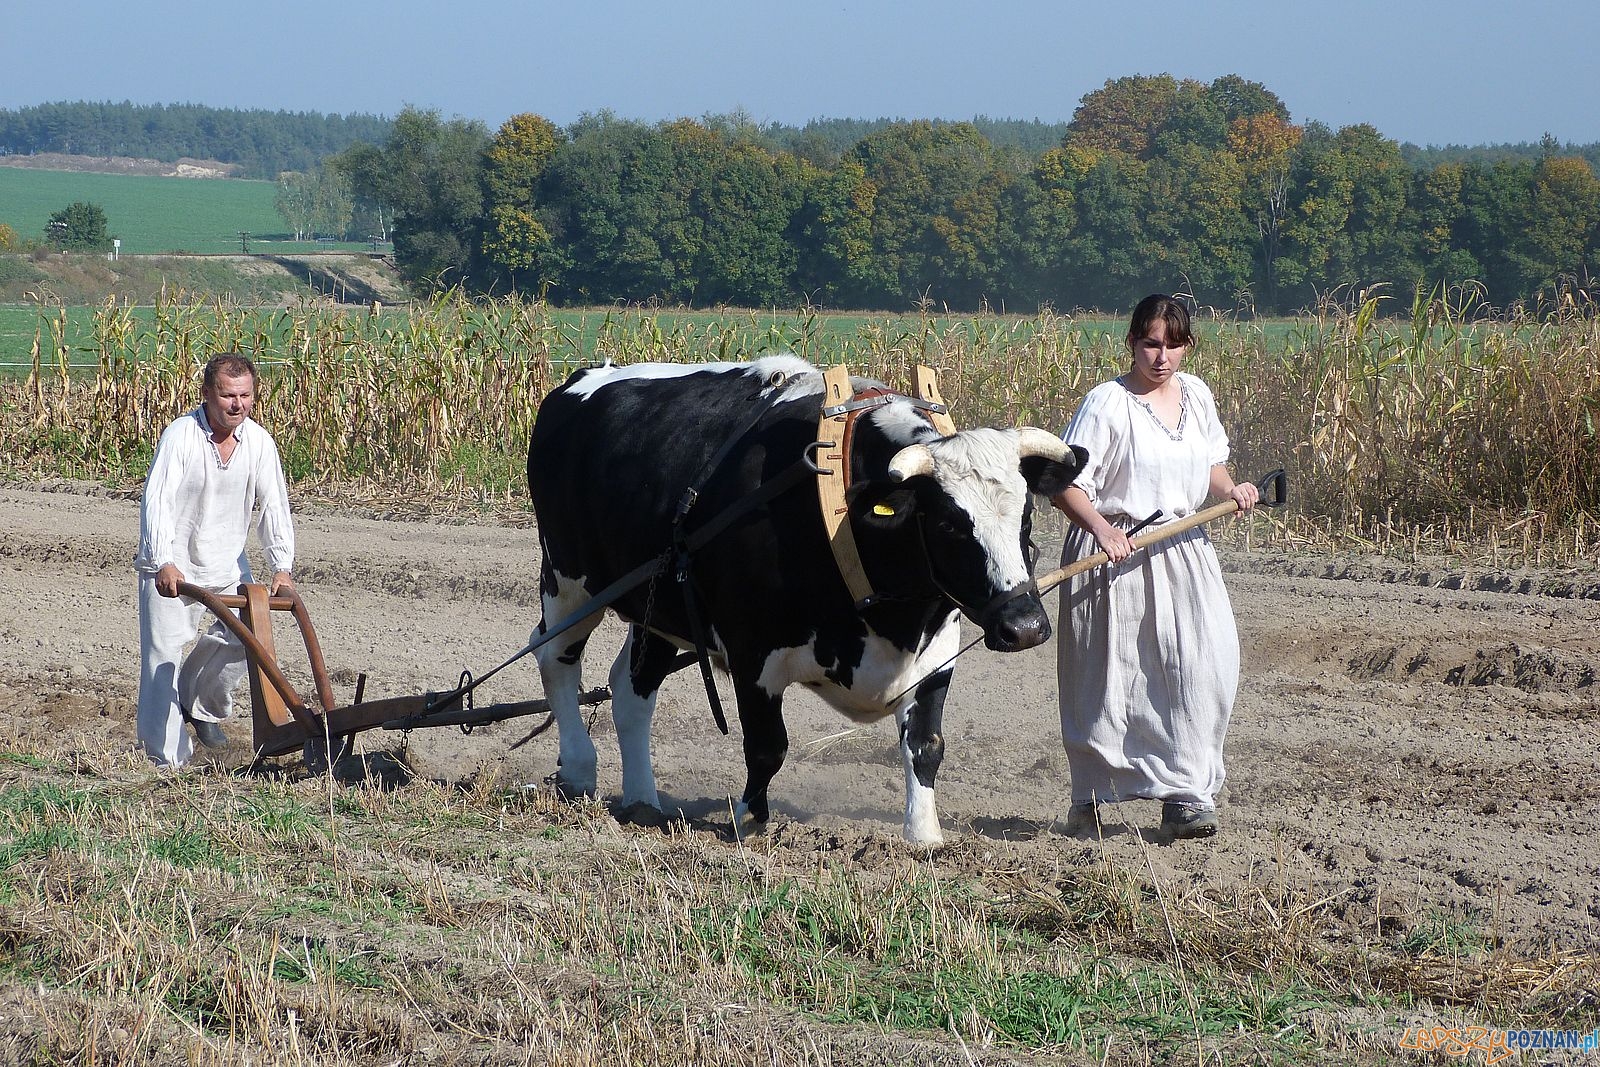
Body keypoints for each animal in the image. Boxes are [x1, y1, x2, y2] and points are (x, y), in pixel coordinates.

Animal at [524, 355, 1088, 844]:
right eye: (949, 524)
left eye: (1026, 517)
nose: (1025, 627)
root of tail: (586, 376)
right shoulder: (752, 653)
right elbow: (767, 746)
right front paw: (749, 821)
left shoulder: (935, 653)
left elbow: (926, 746)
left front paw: (924, 836)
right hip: (569, 583)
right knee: (554, 658)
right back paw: (579, 770)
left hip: (659, 604)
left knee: (632, 689)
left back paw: (643, 800)